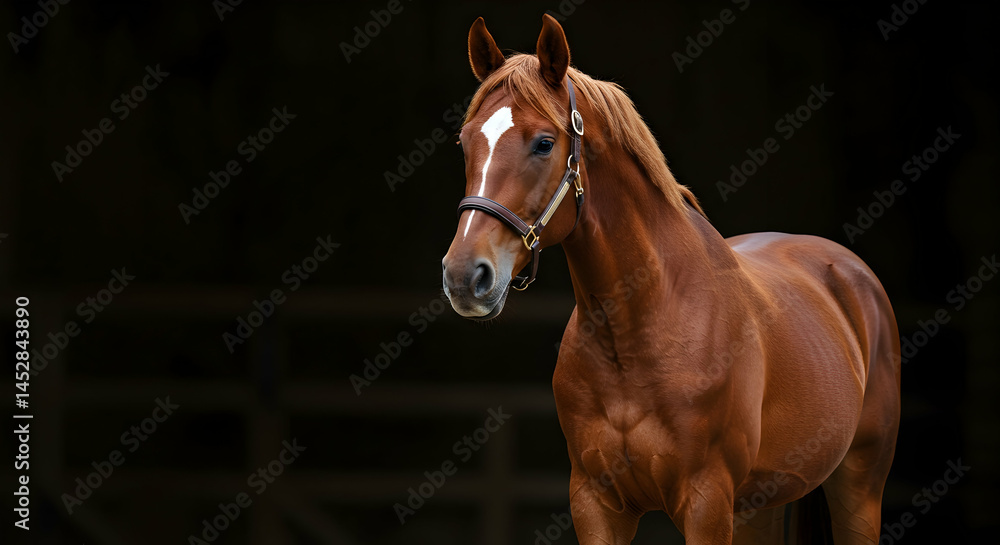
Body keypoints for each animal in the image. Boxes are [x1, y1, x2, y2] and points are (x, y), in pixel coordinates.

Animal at [441, 14, 901, 544]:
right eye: (465, 141)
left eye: (544, 143)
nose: (464, 276)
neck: (638, 332)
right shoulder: (596, 504)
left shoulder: (706, 501)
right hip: (758, 504)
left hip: (858, 487)